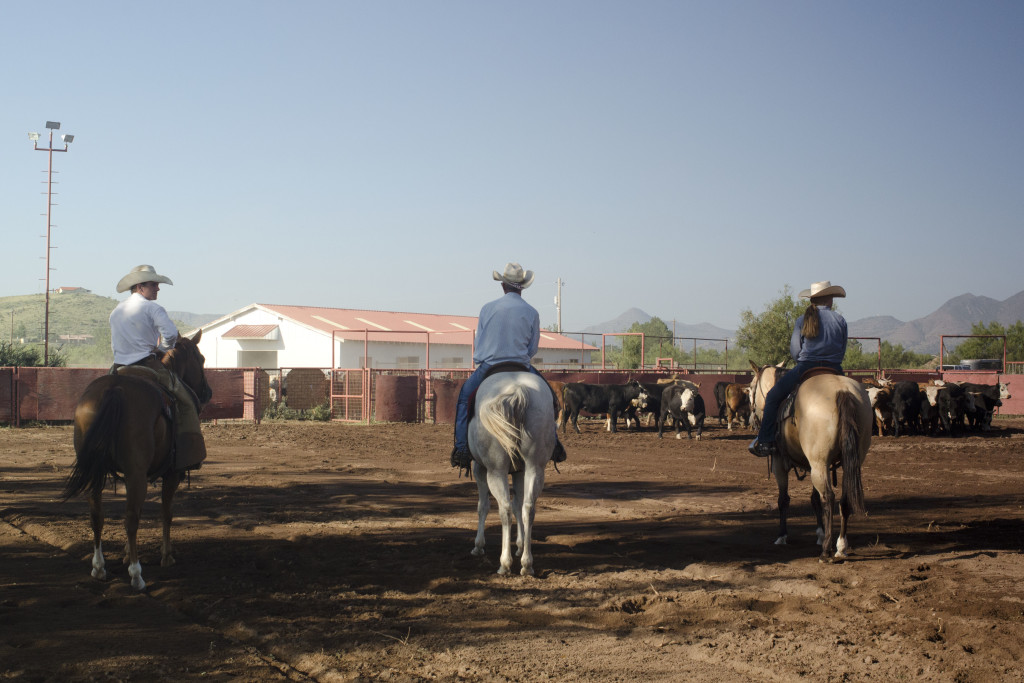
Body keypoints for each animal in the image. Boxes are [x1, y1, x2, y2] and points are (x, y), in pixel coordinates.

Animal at [61, 329, 211, 589]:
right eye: (201, 359)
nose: (207, 392)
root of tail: (115, 390)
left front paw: (123, 554)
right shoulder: (172, 474)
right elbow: (166, 512)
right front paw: (166, 555)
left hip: (96, 472)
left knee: (97, 515)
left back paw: (99, 568)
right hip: (137, 474)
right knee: (131, 519)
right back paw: (136, 575)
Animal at [468, 370, 557, 573]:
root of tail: (517, 390)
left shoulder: (479, 469)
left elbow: (482, 506)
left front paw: (478, 545)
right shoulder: (520, 472)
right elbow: (518, 505)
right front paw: (520, 545)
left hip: (496, 471)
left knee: (505, 509)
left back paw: (505, 563)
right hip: (534, 468)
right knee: (527, 508)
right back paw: (527, 564)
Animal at [745, 360, 872, 565]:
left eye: (750, 388)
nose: (751, 420)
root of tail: (842, 391)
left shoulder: (779, 463)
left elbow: (783, 499)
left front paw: (782, 536)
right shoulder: (813, 464)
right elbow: (814, 499)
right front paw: (820, 533)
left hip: (819, 463)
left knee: (828, 497)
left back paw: (826, 551)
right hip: (848, 460)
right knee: (844, 500)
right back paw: (841, 546)